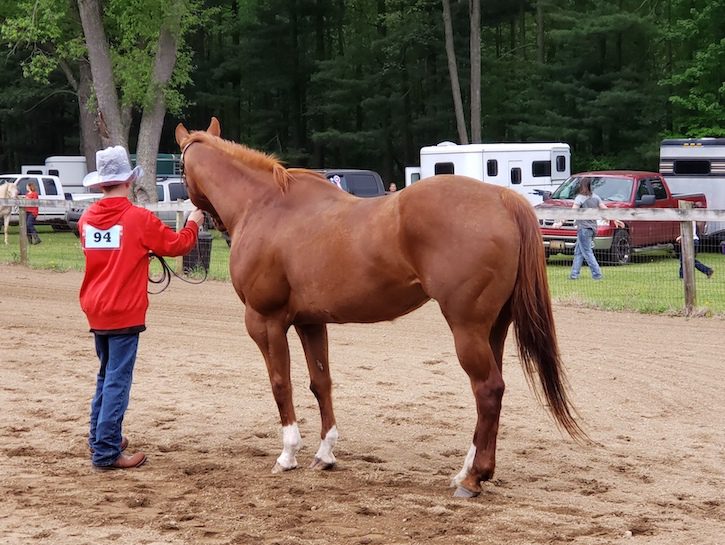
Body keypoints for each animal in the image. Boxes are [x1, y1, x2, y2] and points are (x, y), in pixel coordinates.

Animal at [177, 119, 588, 498]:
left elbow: (281, 383)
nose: (203, 219)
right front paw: (324, 454)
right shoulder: (310, 323)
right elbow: (320, 383)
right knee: (491, 393)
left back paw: (473, 479)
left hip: (467, 328)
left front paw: (288, 454)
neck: (265, 206)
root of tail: (502, 199)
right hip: (494, 329)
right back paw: (467, 471)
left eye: (181, 168)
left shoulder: (266, 321)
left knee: (487, 390)